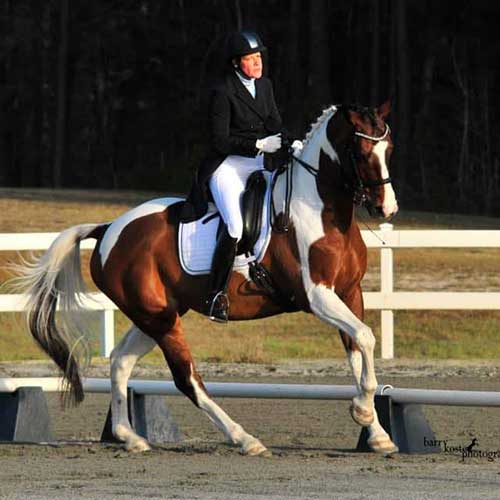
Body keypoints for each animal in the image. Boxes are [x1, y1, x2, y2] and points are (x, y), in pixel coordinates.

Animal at [13, 101, 400, 458]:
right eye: (361, 152)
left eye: (389, 149)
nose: (388, 209)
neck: (319, 210)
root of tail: (109, 228)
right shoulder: (317, 297)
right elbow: (365, 337)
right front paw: (363, 412)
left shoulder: (349, 293)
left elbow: (358, 349)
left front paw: (376, 432)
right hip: (160, 320)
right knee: (187, 379)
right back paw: (245, 439)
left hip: (157, 314)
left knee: (121, 361)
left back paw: (129, 437)